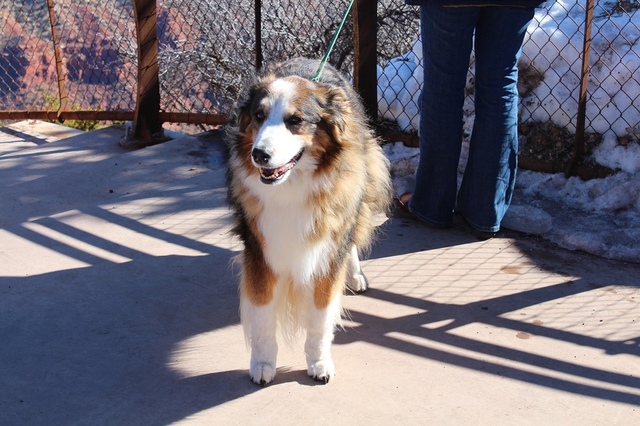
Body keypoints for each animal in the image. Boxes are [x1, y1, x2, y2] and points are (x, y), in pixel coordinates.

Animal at [228, 57, 392, 386]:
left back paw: (355, 275)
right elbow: (263, 316)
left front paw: (319, 362)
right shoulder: (260, 250)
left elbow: (320, 316)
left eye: (295, 121)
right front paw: (263, 363)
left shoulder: (326, 255)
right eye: (259, 116)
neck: (291, 185)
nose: (259, 155)